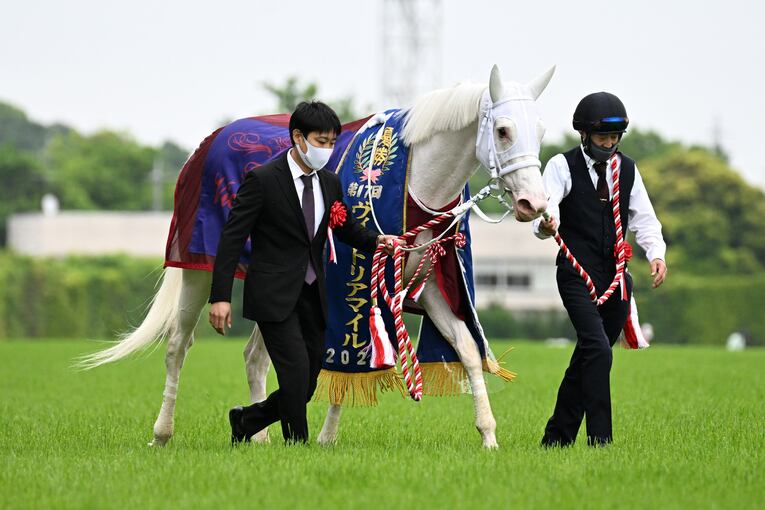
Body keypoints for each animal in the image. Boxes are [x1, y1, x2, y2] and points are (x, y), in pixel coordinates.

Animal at [80, 64, 553, 449]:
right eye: (503, 131)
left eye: (542, 132)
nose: (534, 203)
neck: (415, 183)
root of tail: (206, 144)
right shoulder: (352, 286)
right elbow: (344, 357)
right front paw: (326, 437)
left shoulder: (430, 283)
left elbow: (468, 349)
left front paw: (488, 435)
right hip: (200, 269)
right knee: (178, 345)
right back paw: (163, 433)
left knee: (255, 356)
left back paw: (258, 435)